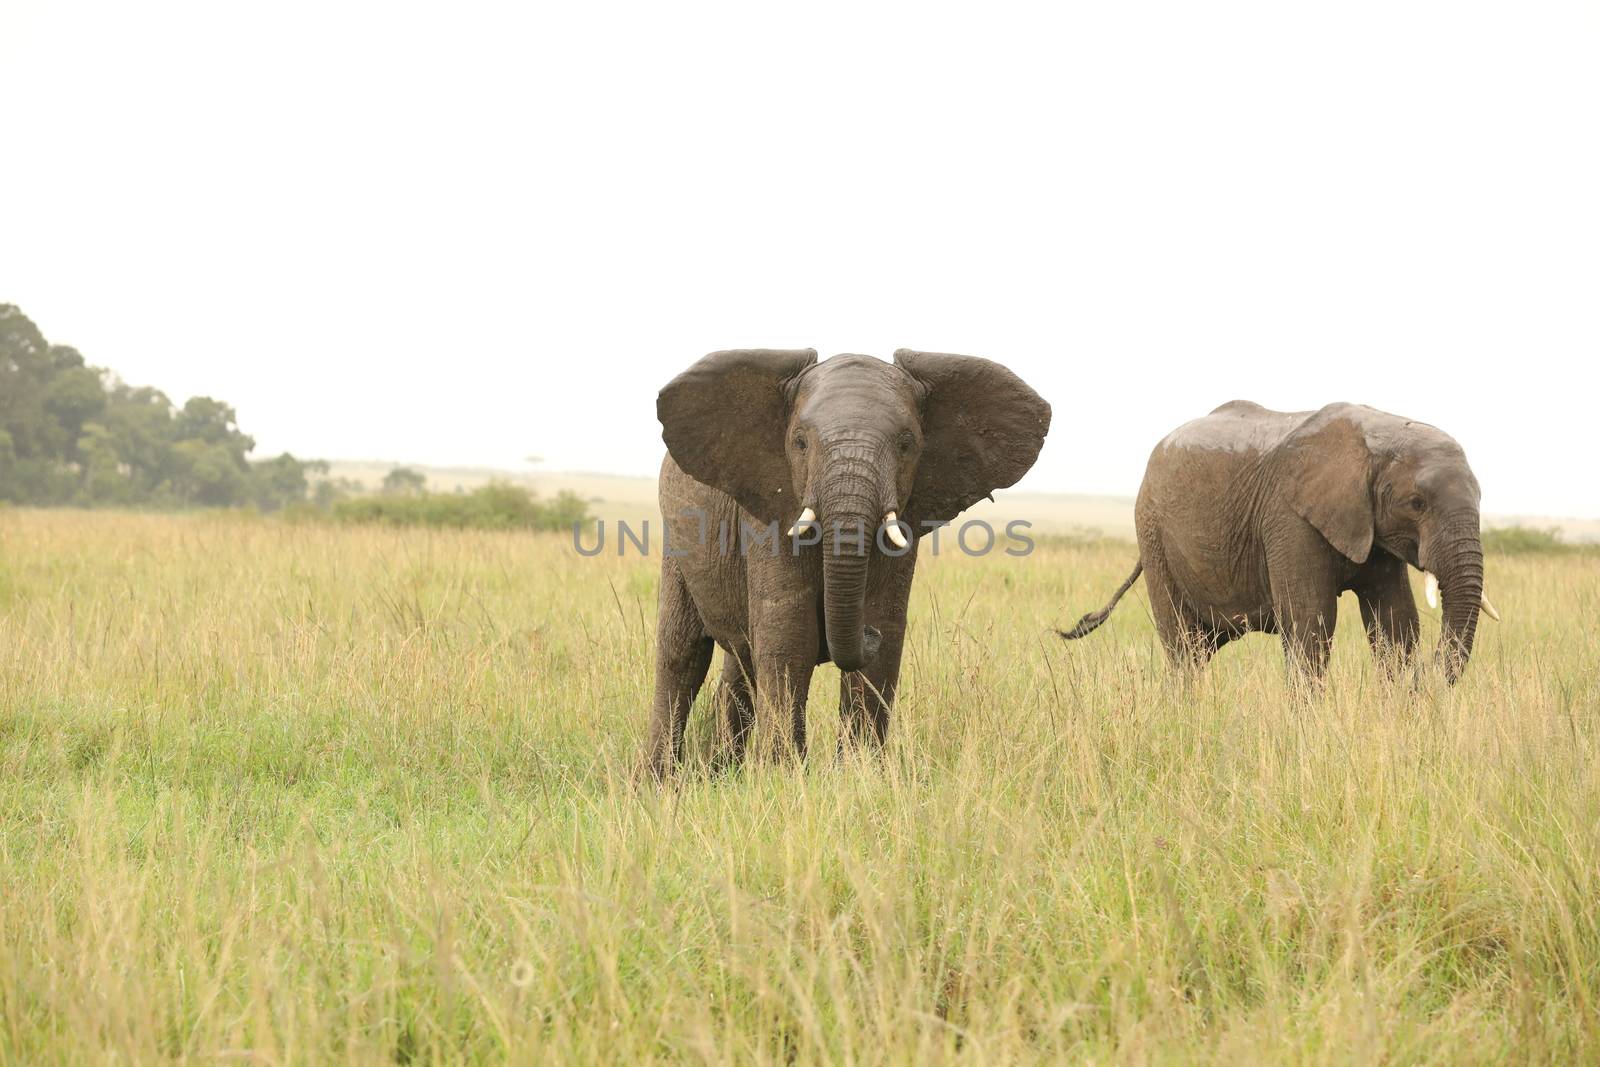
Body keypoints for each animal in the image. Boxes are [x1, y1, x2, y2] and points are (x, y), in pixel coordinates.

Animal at [643, 350, 1056, 777]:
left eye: (907, 444)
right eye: (800, 442)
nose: (865, 634)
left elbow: (885, 634)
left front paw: (862, 775)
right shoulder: (770, 510)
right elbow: (790, 634)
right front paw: (785, 777)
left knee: (740, 660)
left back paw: (723, 773)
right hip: (676, 540)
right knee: (682, 654)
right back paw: (660, 782)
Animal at [1062, 399, 1497, 684]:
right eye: (1417, 503)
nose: (1428, 676)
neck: (1380, 431)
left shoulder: (1371, 529)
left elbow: (1396, 621)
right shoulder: (1289, 518)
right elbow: (1311, 620)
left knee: (1202, 645)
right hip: (1152, 531)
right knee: (1183, 644)